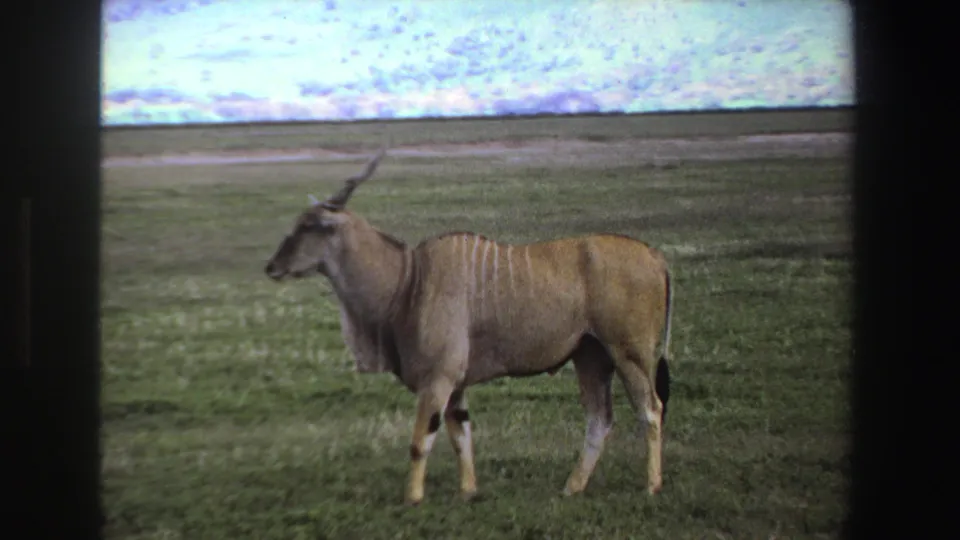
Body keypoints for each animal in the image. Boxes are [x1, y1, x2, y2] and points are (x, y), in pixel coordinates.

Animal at [264, 149, 674, 506]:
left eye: (309, 226)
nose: (272, 266)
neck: (408, 280)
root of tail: (655, 256)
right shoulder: (456, 385)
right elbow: (461, 436)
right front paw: (468, 492)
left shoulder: (437, 379)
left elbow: (421, 441)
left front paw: (412, 498)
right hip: (590, 356)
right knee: (599, 419)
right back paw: (572, 487)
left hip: (628, 353)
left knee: (650, 408)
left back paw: (652, 486)